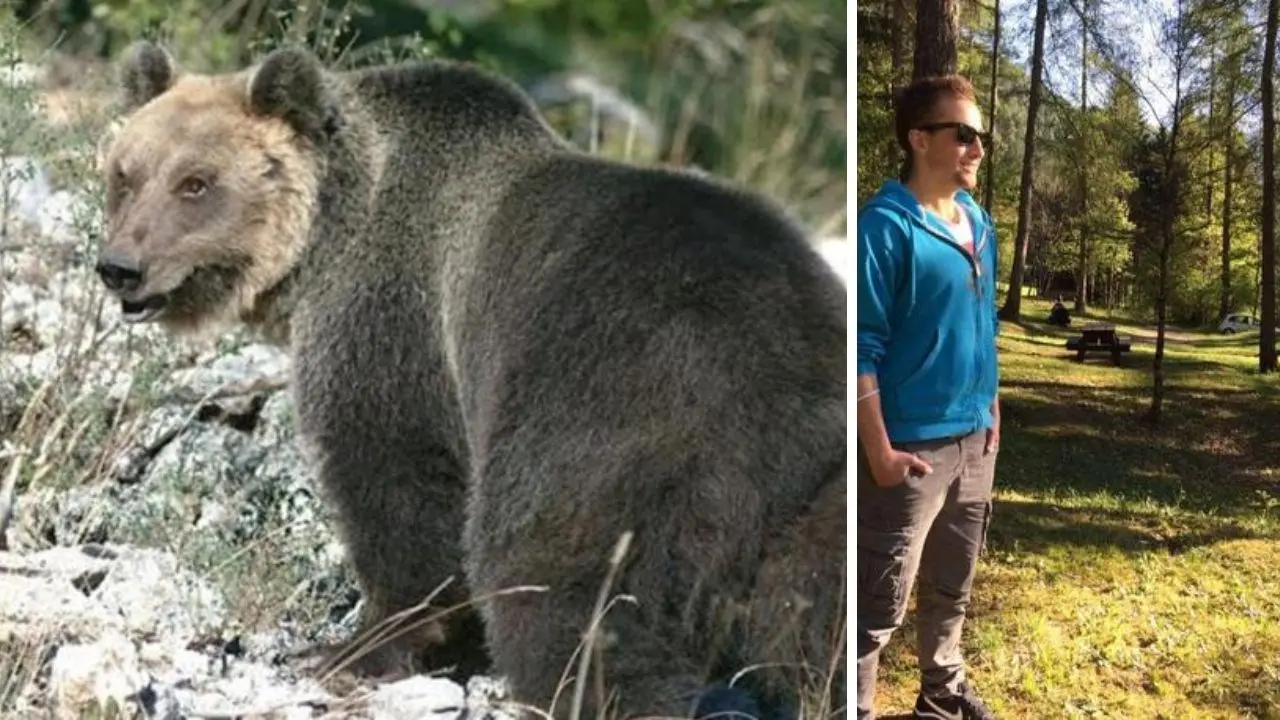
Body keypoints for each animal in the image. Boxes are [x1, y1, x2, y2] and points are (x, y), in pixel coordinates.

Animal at [92, 40, 849, 717]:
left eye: (196, 182)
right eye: (125, 174)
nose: (121, 267)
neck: (327, 234)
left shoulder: (392, 320)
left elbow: (396, 484)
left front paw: (350, 647)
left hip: (612, 407)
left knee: (557, 569)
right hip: (819, 482)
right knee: (822, 608)